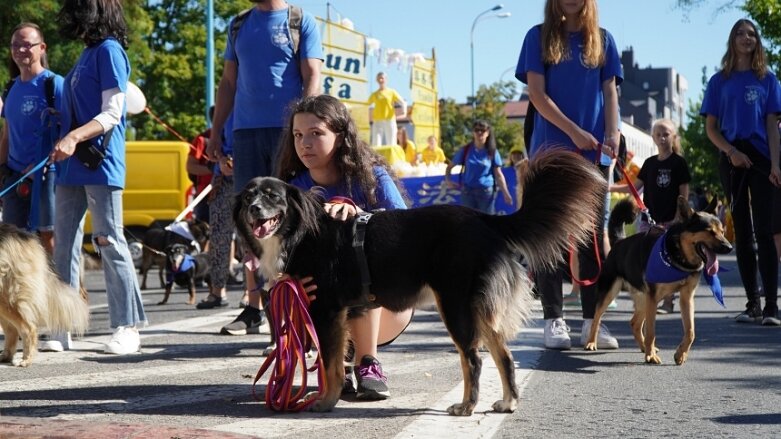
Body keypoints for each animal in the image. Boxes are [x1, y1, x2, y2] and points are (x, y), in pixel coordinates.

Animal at [0, 223, 90, 368]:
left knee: (27, 328)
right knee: (12, 330)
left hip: (7, 297)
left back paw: (26, 359)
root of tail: (24, 235)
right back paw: (6, 356)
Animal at [232, 151, 604, 416]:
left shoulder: (327, 312)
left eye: (272, 196)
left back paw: (467, 407)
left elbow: (330, 364)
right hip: (477, 308)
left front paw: (325, 402)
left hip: (454, 305)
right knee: (504, 356)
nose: (254, 209)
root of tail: (483, 219)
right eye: (249, 196)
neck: (301, 232)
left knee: (473, 359)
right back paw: (507, 402)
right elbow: (336, 361)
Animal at [584, 198, 732, 366]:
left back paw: (645, 347)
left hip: (644, 299)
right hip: (612, 294)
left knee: (634, 323)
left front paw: (680, 354)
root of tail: (619, 243)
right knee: (596, 318)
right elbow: (651, 332)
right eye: (709, 231)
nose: (729, 247)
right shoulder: (653, 298)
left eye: (722, 231)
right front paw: (651, 357)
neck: (679, 256)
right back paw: (591, 343)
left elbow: (690, 332)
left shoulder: (686, 298)